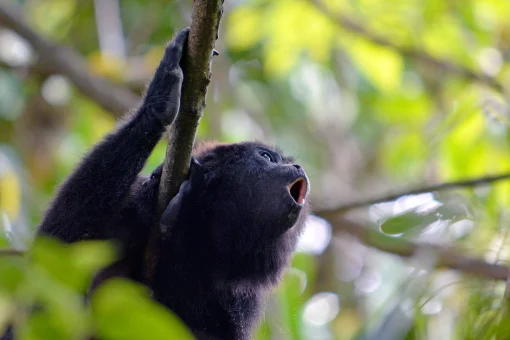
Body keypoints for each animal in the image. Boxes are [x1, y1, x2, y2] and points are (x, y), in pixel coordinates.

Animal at [8, 27, 310, 340]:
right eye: (267, 157)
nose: (298, 167)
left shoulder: (243, 300)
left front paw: (177, 226)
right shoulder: (135, 207)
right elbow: (57, 254)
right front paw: (160, 98)